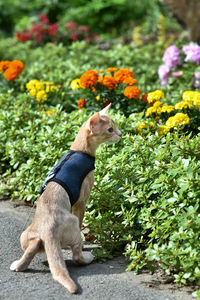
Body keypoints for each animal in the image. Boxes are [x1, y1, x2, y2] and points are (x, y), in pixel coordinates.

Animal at [9, 104, 122, 294]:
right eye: (110, 129)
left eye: (115, 126)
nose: (120, 134)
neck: (79, 150)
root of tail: (48, 230)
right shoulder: (81, 201)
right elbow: (82, 218)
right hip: (73, 225)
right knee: (77, 256)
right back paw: (87, 256)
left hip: (25, 237)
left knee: (32, 248)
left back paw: (19, 264)